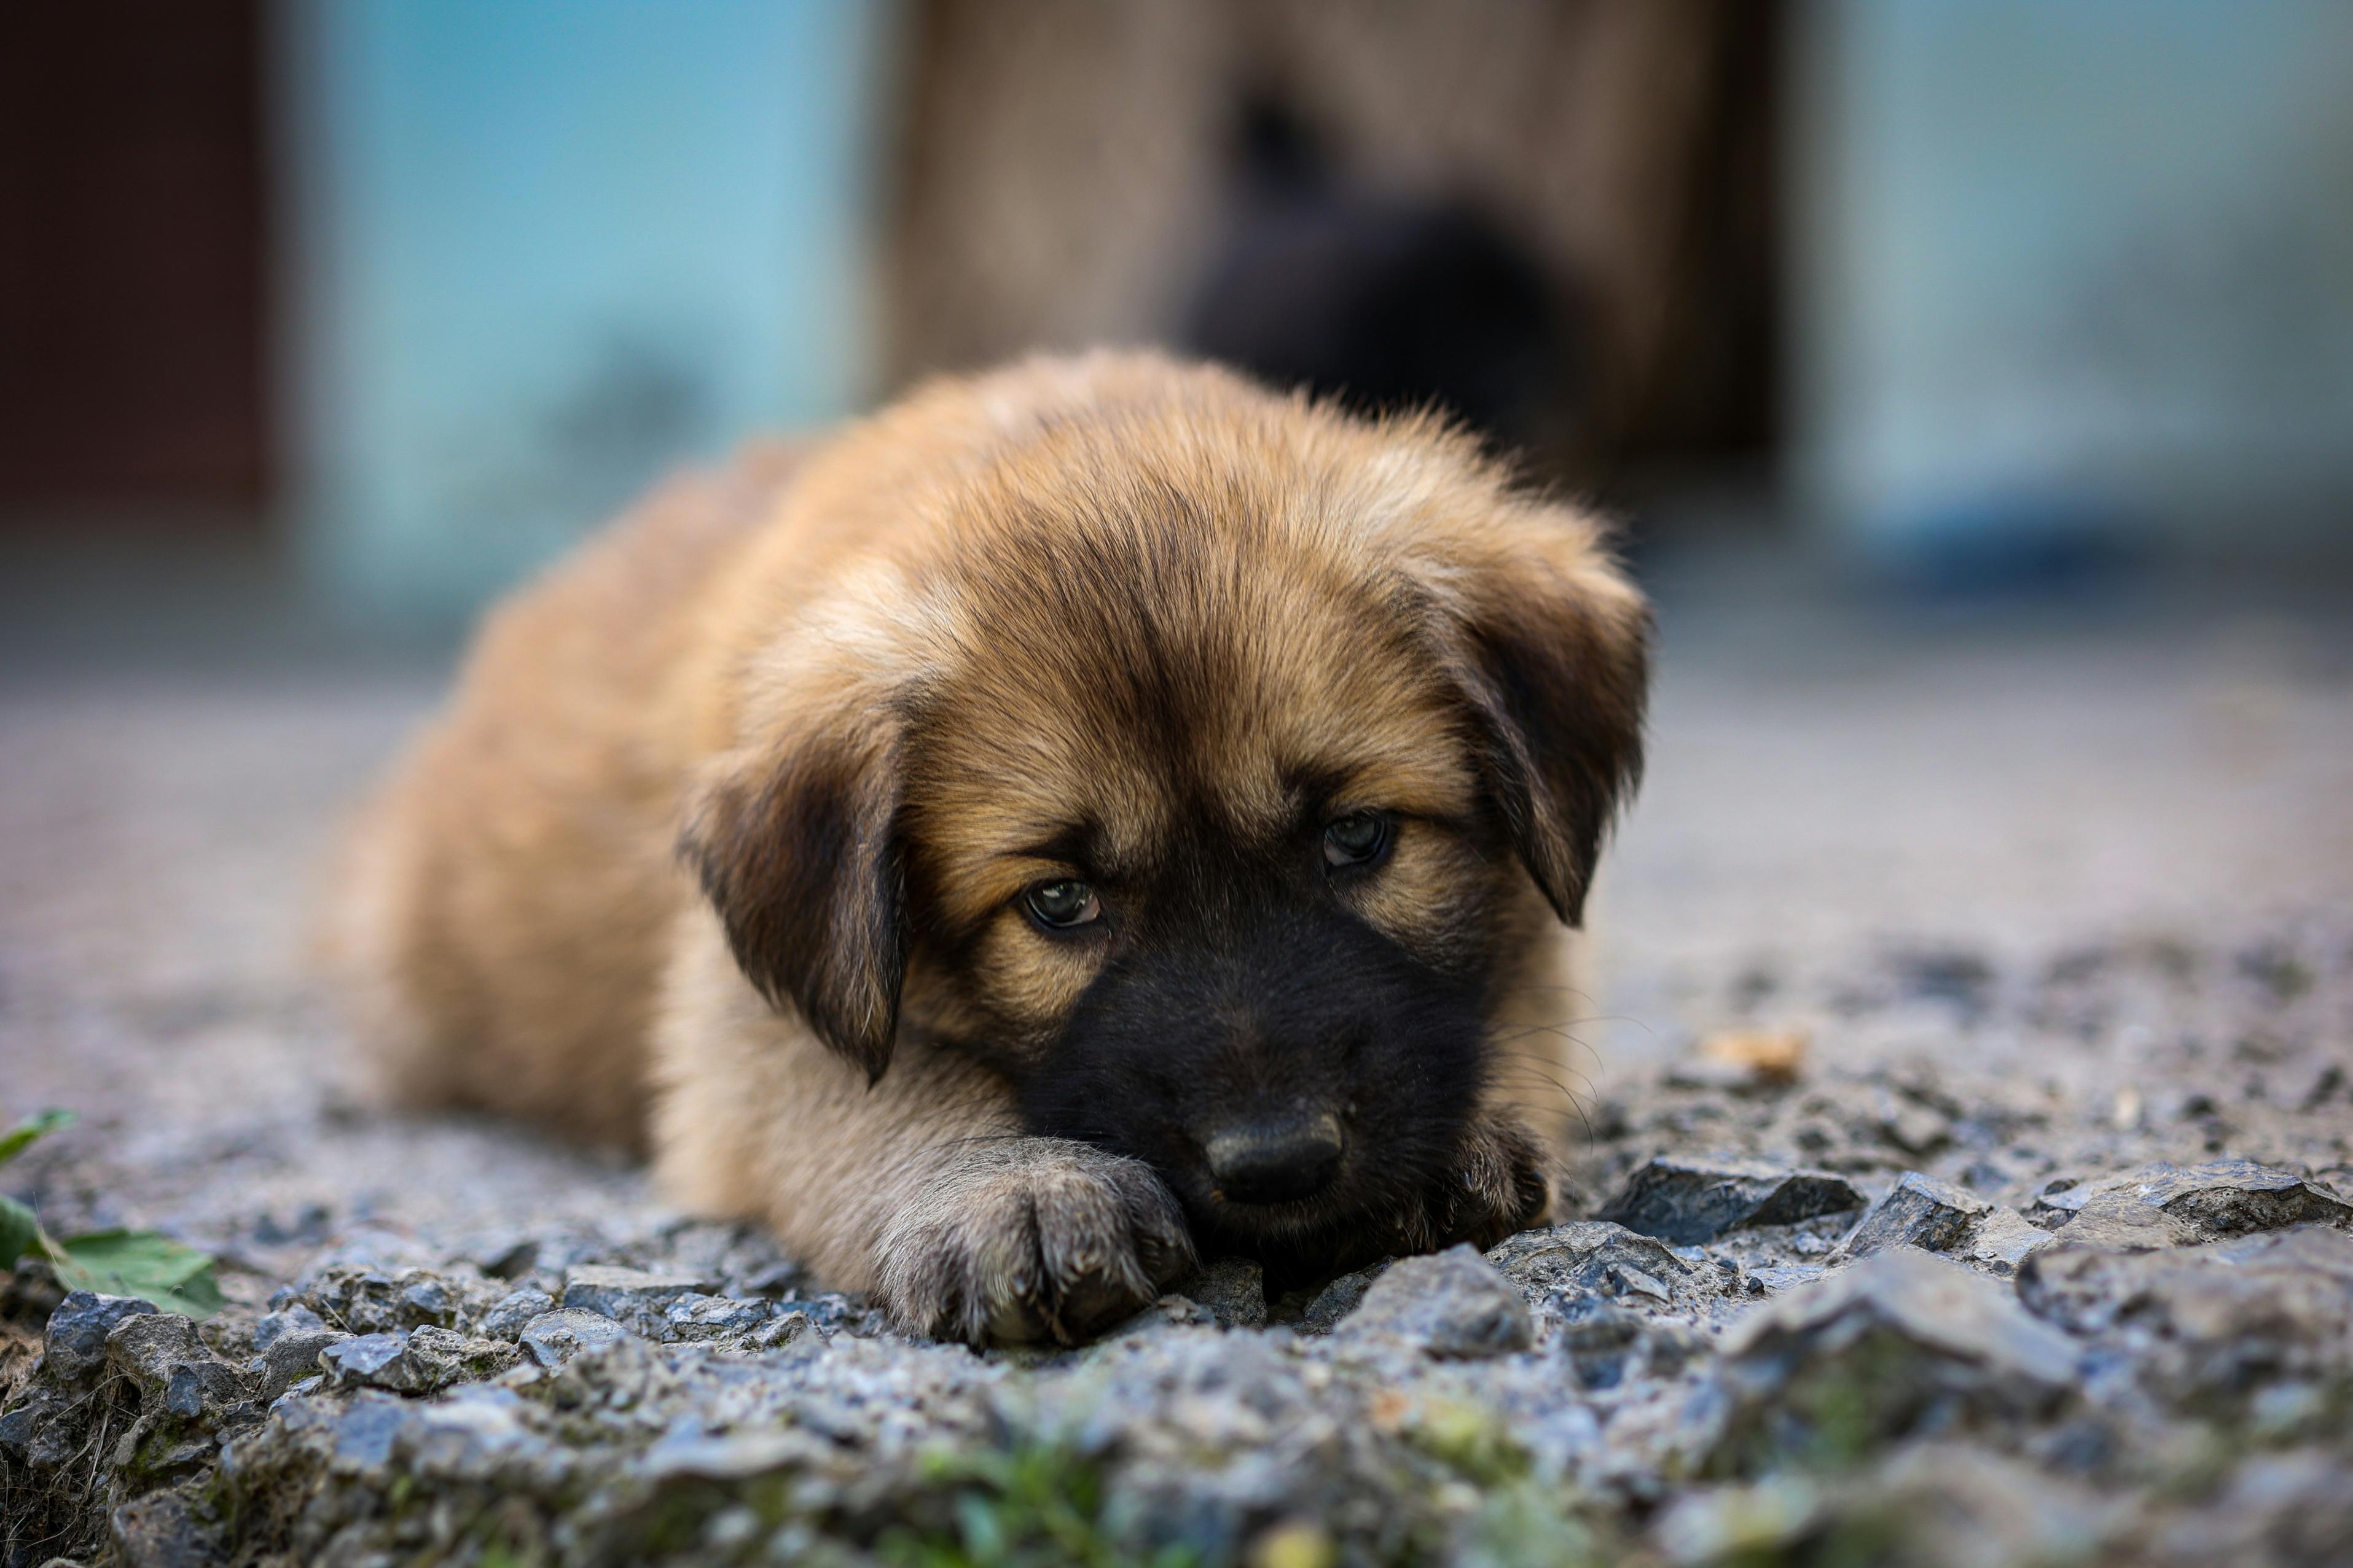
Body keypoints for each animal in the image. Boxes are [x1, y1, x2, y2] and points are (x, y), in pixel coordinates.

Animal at [336, 350, 1656, 1344]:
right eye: (1058, 900)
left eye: (1359, 835)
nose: (1278, 1162)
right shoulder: (744, 1023)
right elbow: (890, 1093)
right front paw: (1014, 1187)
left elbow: (1503, 994)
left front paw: (1465, 1134)